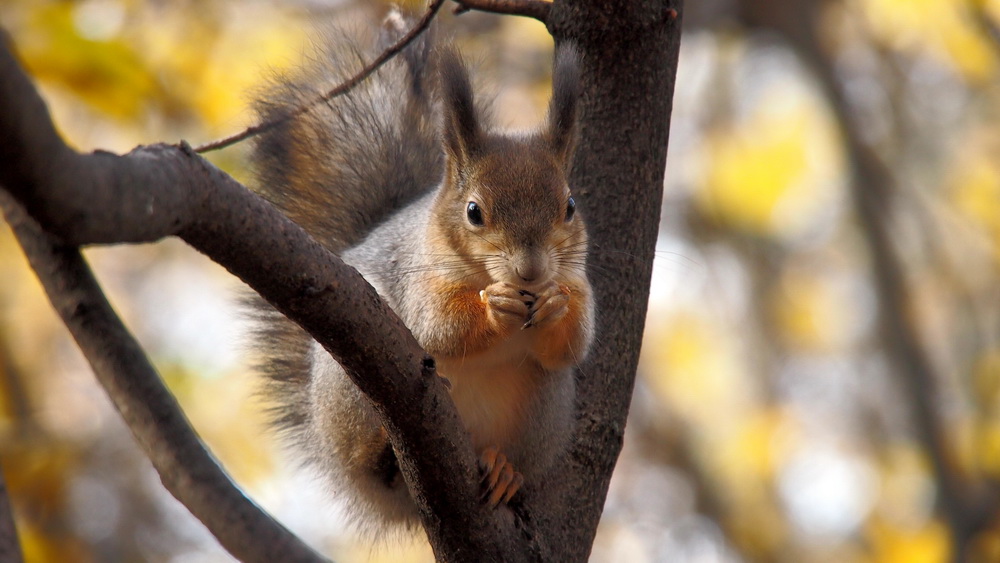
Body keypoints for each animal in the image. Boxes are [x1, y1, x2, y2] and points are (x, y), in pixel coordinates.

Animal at [247, 13, 592, 532]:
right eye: (474, 212)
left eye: (569, 207)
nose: (531, 272)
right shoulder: (421, 277)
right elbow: (438, 326)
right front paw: (495, 309)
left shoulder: (578, 279)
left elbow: (573, 344)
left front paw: (555, 306)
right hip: (350, 385)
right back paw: (380, 451)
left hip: (544, 412)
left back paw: (503, 469)